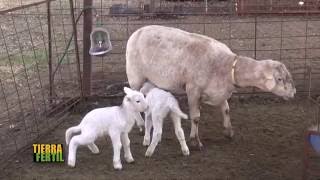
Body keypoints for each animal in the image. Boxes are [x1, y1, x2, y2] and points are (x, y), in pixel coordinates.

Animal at [126, 24, 296, 150]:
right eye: (280, 79)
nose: (293, 93)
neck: (227, 67)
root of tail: (137, 32)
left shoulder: (220, 91)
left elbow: (226, 110)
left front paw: (228, 132)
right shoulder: (193, 90)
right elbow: (195, 117)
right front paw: (195, 141)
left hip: (151, 79)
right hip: (135, 76)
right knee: (133, 96)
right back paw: (140, 124)